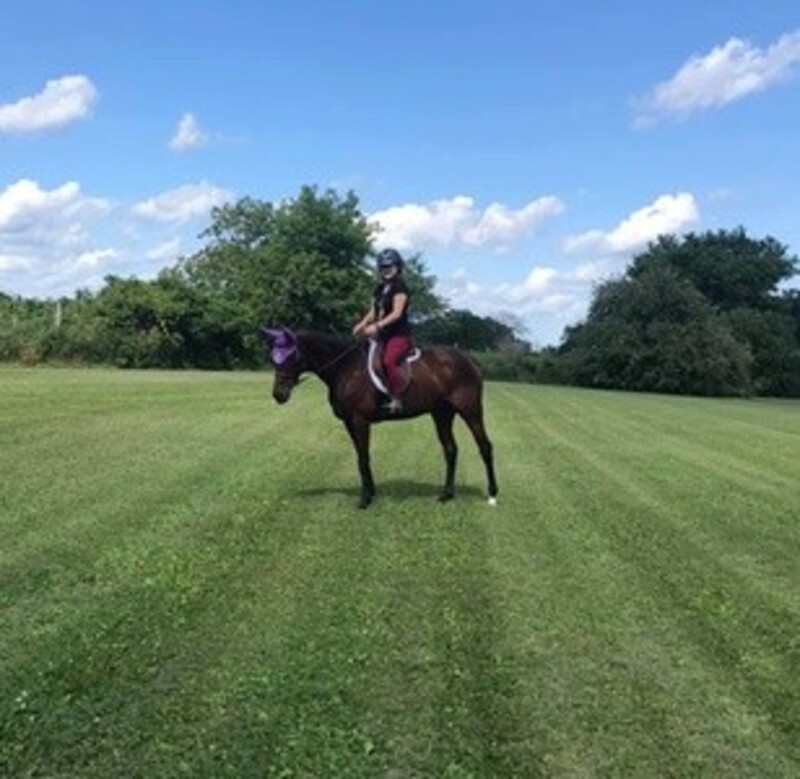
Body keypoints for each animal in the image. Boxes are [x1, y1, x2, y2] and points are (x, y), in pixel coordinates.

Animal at [261, 326, 498, 509]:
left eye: (292, 356)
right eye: (273, 357)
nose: (279, 394)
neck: (345, 367)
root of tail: (469, 359)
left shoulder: (359, 421)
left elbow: (363, 458)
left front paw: (365, 499)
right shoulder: (349, 423)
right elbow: (361, 456)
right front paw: (371, 492)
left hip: (470, 410)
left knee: (485, 447)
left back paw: (492, 494)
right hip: (442, 414)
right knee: (450, 449)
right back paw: (447, 494)